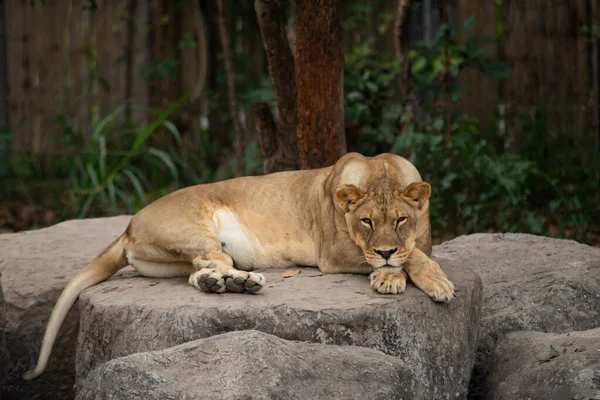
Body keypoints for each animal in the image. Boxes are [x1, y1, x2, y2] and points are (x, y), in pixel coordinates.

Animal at [24, 152, 454, 380]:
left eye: (400, 219)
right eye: (366, 222)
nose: (385, 251)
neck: (381, 171)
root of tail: (128, 226)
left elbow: (415, 251)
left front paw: (399, 271)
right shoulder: (332, 252)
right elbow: (407, 256)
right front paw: (414, 279)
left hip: (178, 259)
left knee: (197, 273)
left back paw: (225, 285)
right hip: (196, 229)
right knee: (211, 263)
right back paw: (244, 283)